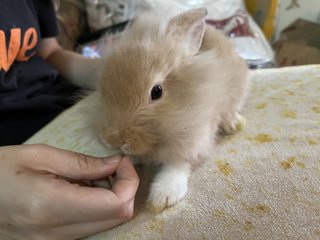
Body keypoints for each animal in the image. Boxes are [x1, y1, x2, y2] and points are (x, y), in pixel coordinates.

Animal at [92, 7, 248, 212]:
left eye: (156, 92)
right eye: (102, 89)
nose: (113, 141)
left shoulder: (193, 138)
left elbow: (177, 164)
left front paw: (163, 197)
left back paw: (234, 124)